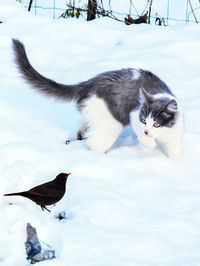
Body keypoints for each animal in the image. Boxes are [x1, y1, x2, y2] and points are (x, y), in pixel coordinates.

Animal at [12, 38, 184, 157]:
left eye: (156, 124)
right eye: (143, 121)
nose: (148, 131)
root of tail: (88, 83)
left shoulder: (176, 132)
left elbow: (173, 149)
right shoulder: (134, 115)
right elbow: (145, 140)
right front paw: (150, 143)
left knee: (84, 129)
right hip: (111, 123)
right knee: (93, 144)